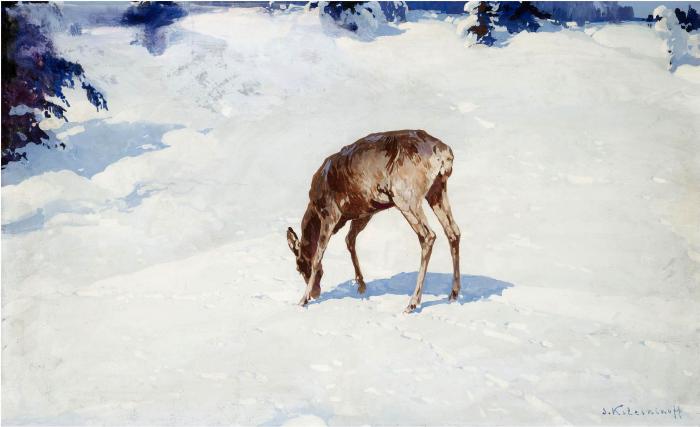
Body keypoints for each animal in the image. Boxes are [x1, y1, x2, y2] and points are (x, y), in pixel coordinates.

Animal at [286, 129, 461, 313]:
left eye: (299, 266)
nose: (315, 294)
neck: (314, 208)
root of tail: (444, 153)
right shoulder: (364, 213)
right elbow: (349, 239)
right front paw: (361, 285)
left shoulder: (330, 214)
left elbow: (317, 257)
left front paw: (302, 300)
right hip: (437, 190)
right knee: (453, 231)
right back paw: (454, 293)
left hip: (406, 197)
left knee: (428, 235)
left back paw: (412, 302)